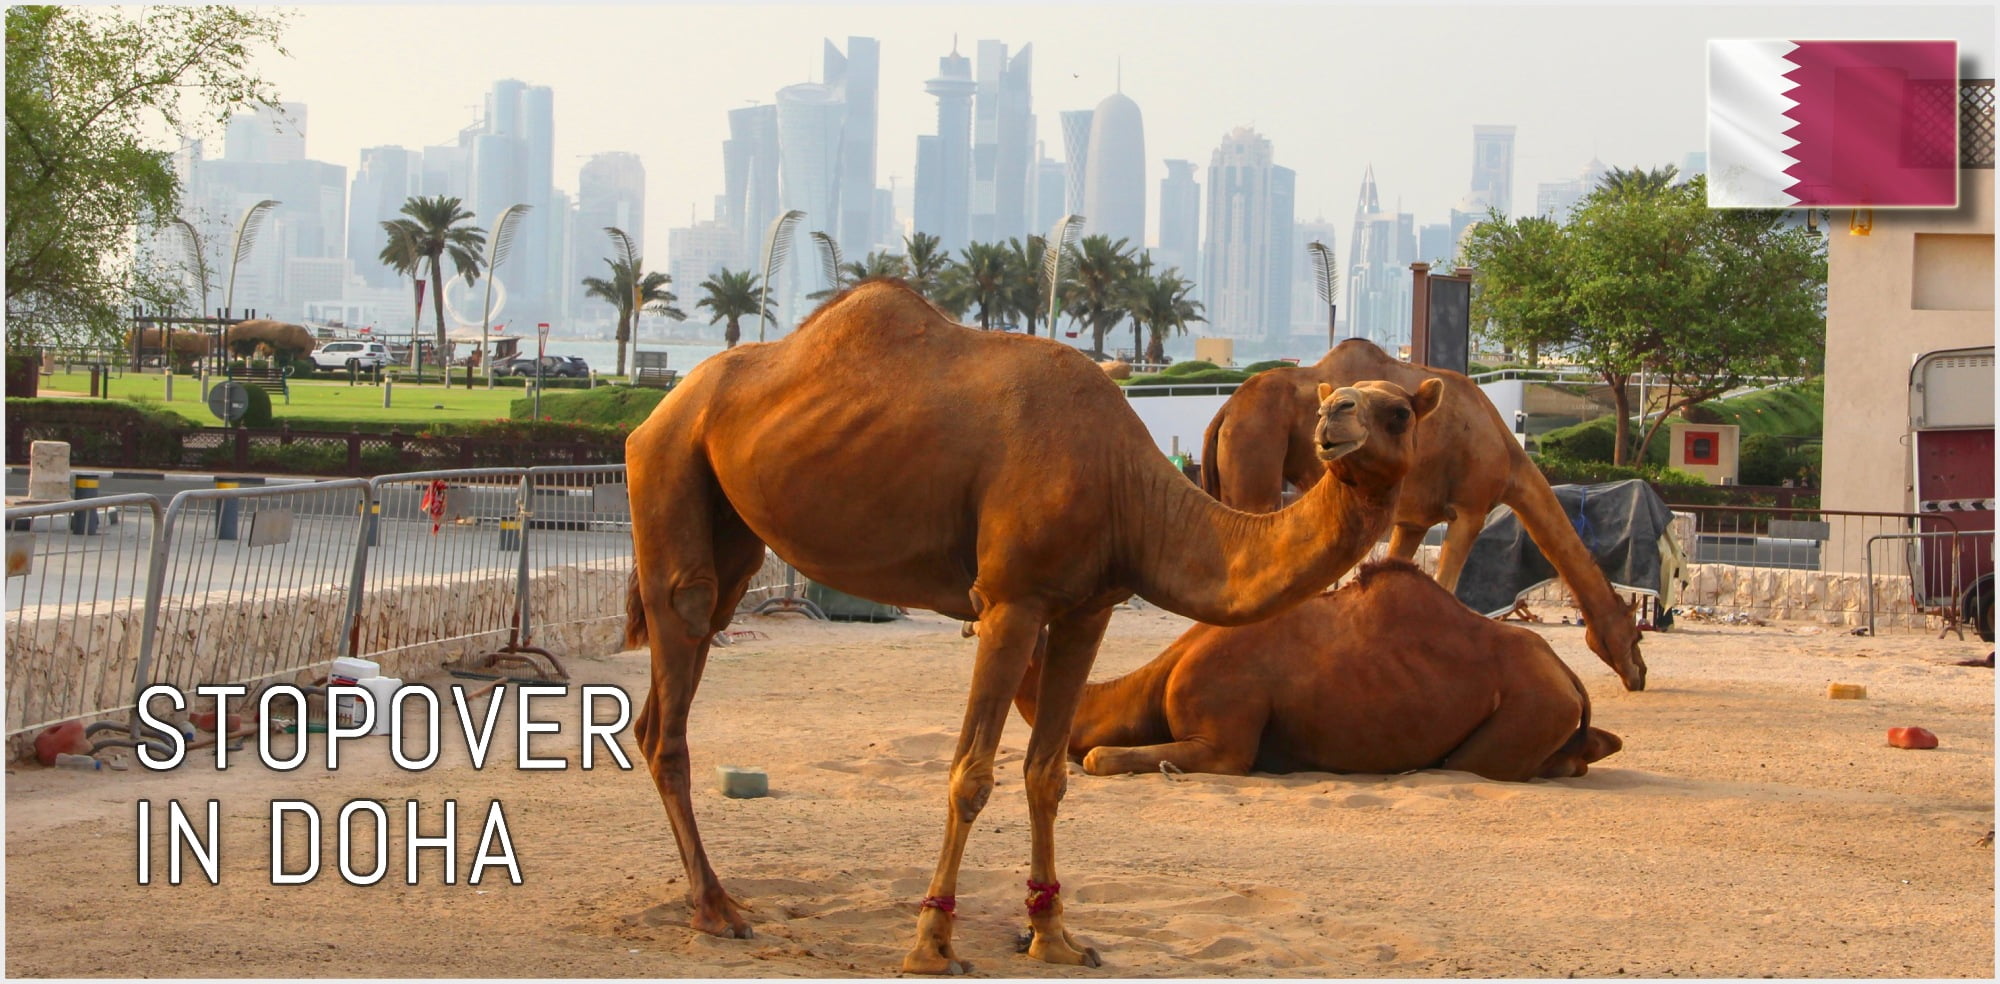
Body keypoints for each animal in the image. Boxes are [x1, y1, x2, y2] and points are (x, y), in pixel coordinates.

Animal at [624, 280, 1440, 972]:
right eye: (1337, 402)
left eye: (1397, 412)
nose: (1334, 423)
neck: (1128, 486)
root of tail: (659, 410)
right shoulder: (1010, 601)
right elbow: (970, 774)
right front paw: (931, 944)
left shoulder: (1087, 607)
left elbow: (1047, 772)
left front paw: (1054, 936)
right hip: (669, 465)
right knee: (680, 647)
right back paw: (716, 909)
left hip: (731, 527)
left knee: (676, 677)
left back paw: (713, 900)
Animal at [1200, 338, 1640, 692]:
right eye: (1635, 634)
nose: (1638, 673)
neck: (1507, 452)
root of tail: (1224, 412)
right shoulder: (1470, 507)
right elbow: (1447, 587)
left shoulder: (1413, 521)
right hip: (1256, 454)